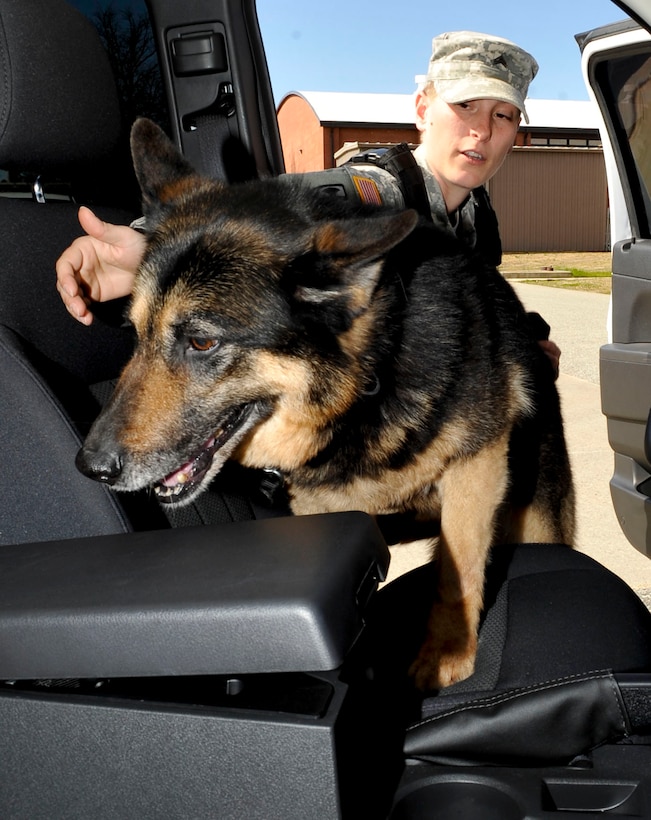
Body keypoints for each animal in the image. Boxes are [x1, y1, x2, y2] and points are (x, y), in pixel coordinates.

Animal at [77, 117, 576, 692]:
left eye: (201, 342)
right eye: (135, 334)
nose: (90, 467)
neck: (371, 384)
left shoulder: (476, 466)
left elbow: (457, 566)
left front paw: (447, 651)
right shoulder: (323, 508)